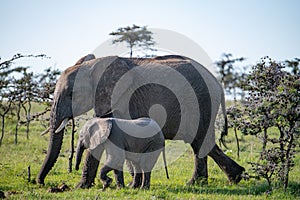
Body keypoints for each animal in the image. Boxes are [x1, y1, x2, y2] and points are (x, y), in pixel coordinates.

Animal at [37, 54, 245, 185]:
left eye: (71, 94)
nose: (40, 182)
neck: (94, 66)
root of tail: (218, 83)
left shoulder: (121, 98)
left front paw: (82, 187)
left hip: (202, 102)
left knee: (199, 142)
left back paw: (195, 184)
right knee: (203, 143)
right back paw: (234, 177)